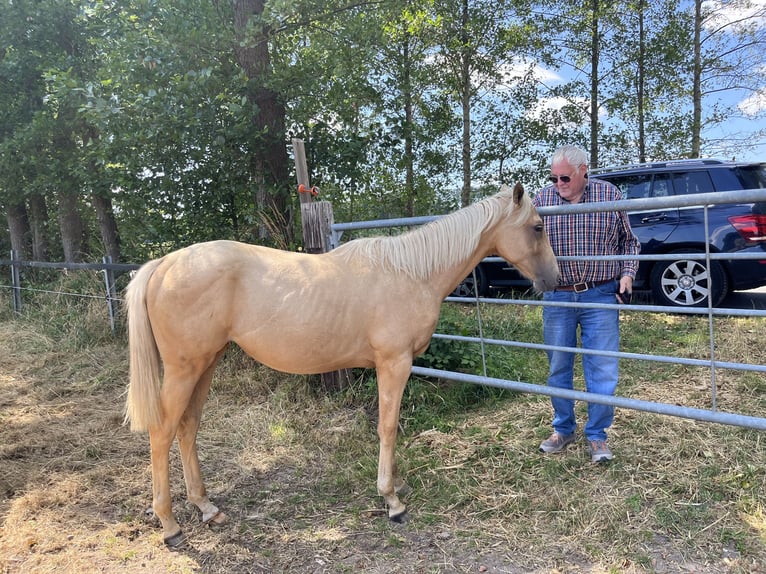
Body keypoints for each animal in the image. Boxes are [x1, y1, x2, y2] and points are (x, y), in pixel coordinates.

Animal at [124, 183, 559, 547]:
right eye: (538, 227)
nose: (554, 280)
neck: (411, 274)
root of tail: (164, 264)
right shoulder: (394, 364)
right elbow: (387, 427)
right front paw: (392, 501)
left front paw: (396, 487)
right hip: (184, 370)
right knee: (162, 432)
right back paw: (170, 525)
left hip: (206, 365)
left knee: (187, 428)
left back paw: (206, 507)